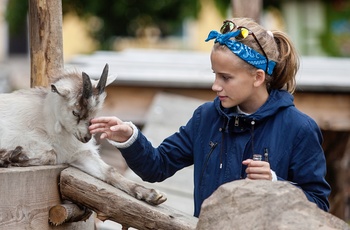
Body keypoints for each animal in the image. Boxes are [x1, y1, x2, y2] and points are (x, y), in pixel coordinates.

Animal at [0, 63, 167, 206]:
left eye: (95, 113)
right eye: (75, 112)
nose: (86, 138)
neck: (47, 121)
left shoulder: (79, 154)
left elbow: (110, 171)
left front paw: (150, 194)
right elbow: (51, 153)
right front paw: (10, 157)